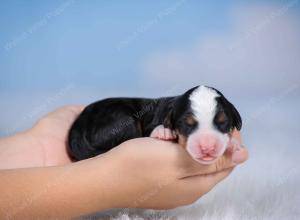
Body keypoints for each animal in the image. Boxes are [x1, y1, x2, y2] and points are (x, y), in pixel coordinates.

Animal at [67, 85, 241, 164]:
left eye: (223, 122)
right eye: (187, 124)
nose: (207, 147)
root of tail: (78, 125)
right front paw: (164, 132)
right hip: (124, 120)